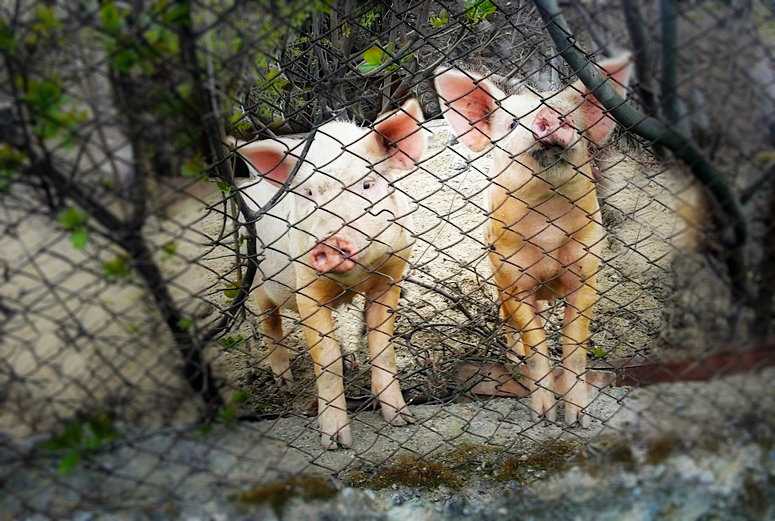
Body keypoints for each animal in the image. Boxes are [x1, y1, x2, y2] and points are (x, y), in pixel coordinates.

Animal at [434, 55, 632, 426]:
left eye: (571, 118)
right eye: (511, 124)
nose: (551, 115)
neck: (548, 226)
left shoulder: (586, 269)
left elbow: (574, 346)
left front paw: (577, 420)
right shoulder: (514, 278)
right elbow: (536, 343)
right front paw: (545, 418)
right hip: (496, 277)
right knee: (509, 322)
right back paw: (514, 359)